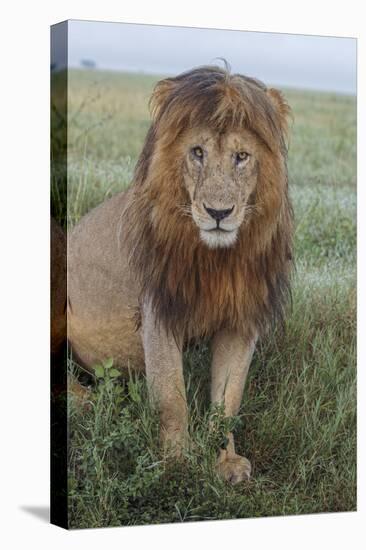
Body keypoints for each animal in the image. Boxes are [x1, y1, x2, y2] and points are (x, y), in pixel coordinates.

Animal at [67, 66, 294, 488]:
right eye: (197, 152)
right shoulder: (158, 313)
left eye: (241, 156)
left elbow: (228, 398)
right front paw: (177, 465)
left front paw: (226, 462)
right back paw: (88, 401)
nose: (219, 212)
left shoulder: (241, 320)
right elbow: (171, 398)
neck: (218, 259)